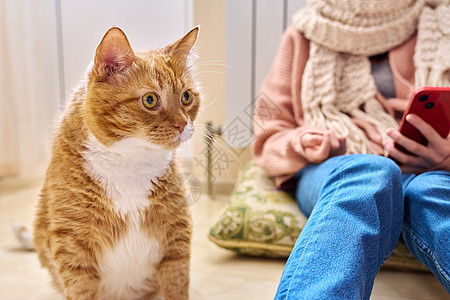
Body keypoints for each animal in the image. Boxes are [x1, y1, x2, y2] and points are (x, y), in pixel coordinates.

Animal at [32, 26, 200, 300]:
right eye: (150, 100)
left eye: (186, 97)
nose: (183, 124)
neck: (130, 162)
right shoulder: (72, 243)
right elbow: (80, 289)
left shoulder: (176, 232)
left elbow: (176, 283)